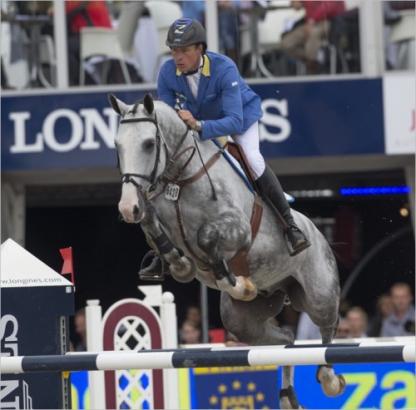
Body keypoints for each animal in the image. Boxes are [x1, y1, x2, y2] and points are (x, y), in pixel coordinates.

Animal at [109, 94, 344, 408]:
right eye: (118, 145)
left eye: (148, 143)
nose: (127, 207)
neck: (180, 180)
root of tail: (318, 233)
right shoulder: (153, 215)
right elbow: (152, 227)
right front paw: (180, 265)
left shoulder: (239, 230)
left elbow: (207, 237)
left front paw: (232, 280)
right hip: (243, 320)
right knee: (285, 338)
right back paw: (287, 395)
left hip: (318, 294)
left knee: (327, 329)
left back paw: (329, 379)